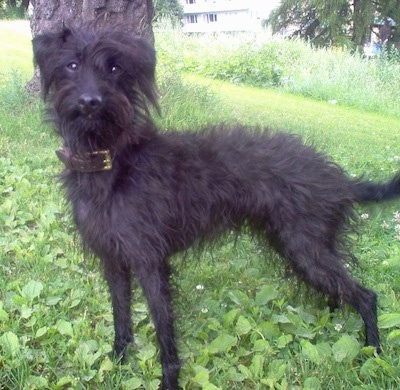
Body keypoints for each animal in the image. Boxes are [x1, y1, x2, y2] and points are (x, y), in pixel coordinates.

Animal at [32, 25, 400, 388]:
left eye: (114, 68)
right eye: (72, 65)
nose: (90, 102)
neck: (111, 159)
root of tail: (341, 180)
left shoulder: (150, 263)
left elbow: (164, 328)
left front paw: (169, 380)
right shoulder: (114, 262)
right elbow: (121, 317)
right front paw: (120, 361)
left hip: (306, 251)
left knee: (366, 296)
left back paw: (373, 350)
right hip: (304, 251)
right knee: (339, 294)